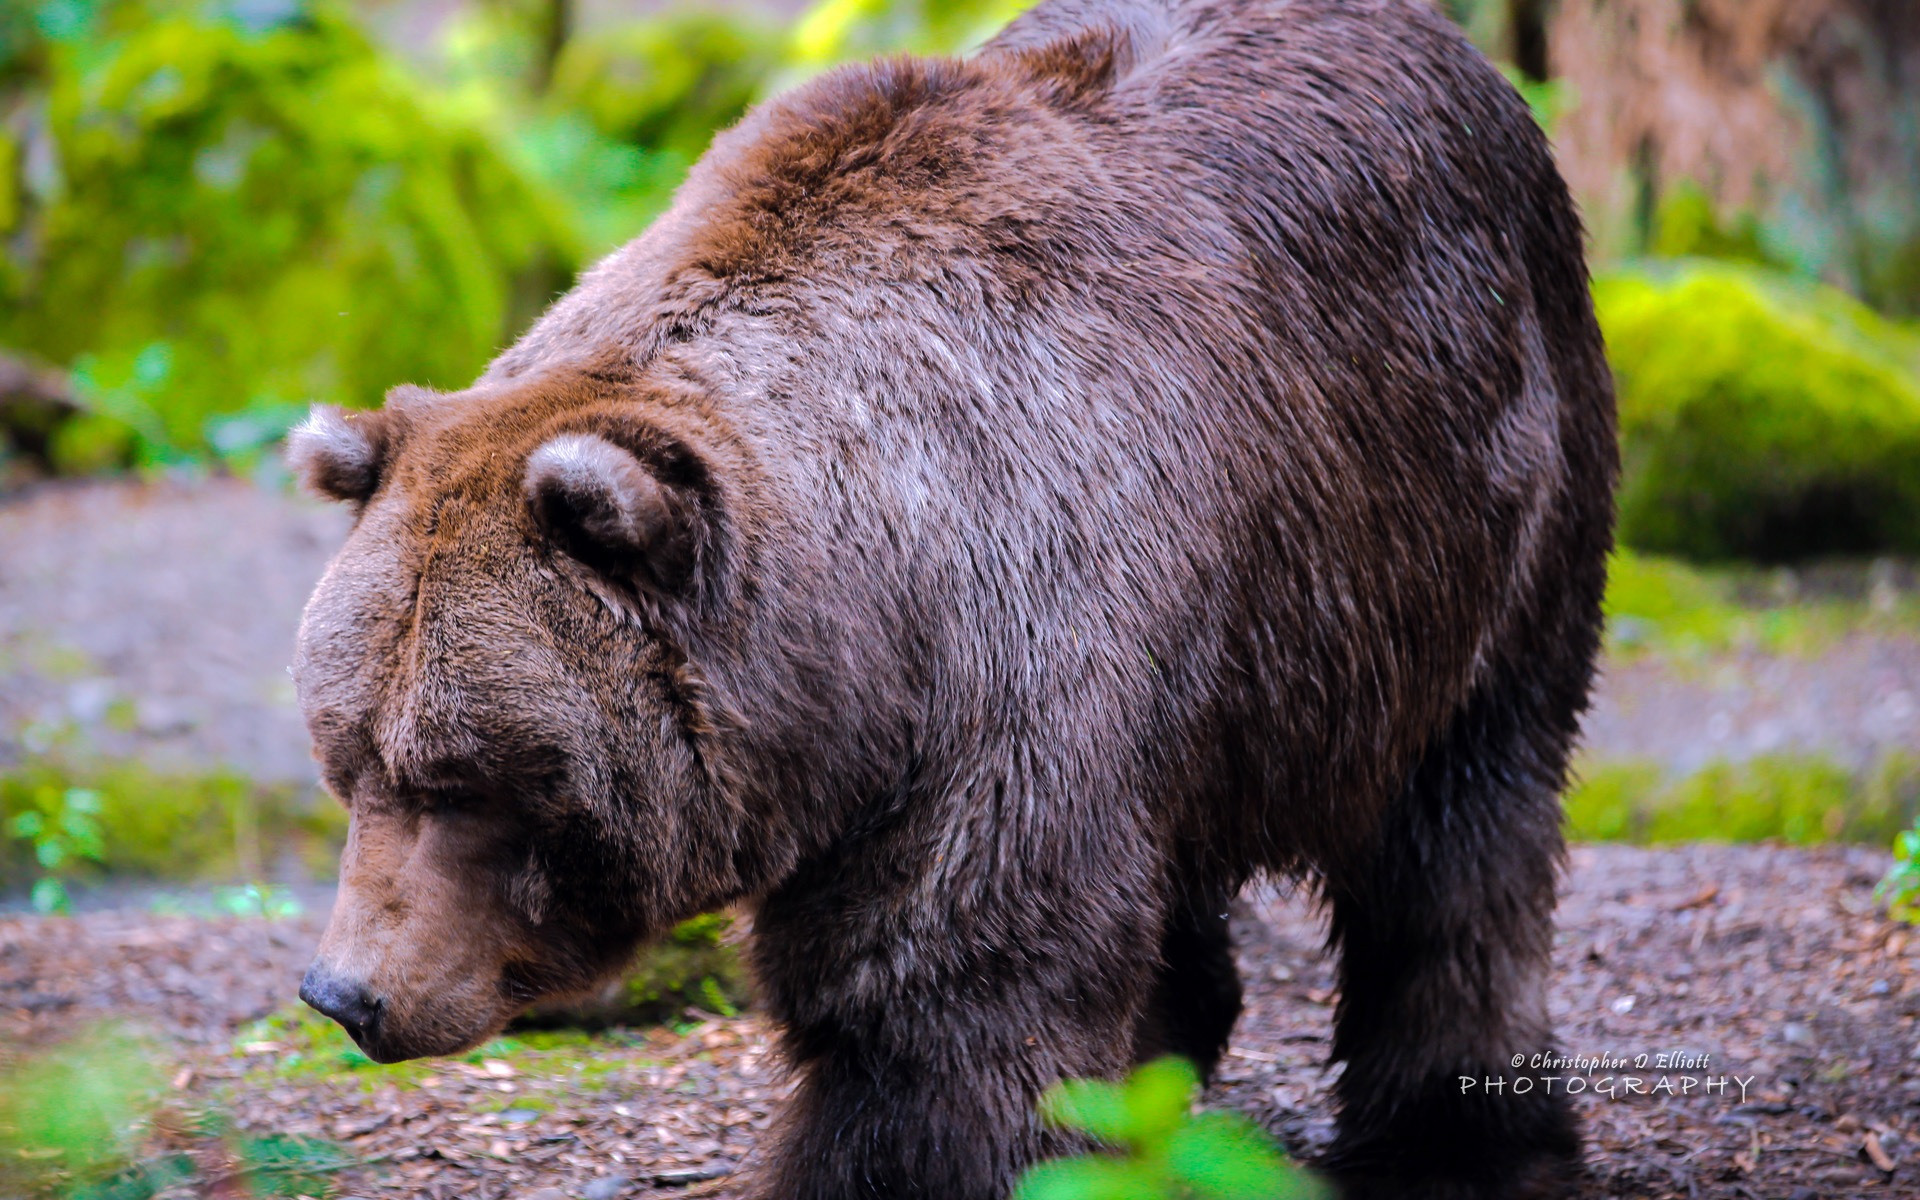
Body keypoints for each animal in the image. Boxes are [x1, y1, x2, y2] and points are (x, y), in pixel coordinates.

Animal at [291, 2, 1612, 1198]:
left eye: (465, 775)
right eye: (349, 756)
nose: (346, 993)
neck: (861, 639)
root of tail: (1447, 41)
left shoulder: (1016, 651)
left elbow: (940, 988)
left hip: (1473, 493)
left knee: (1464, 823)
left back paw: (1458, 1140)